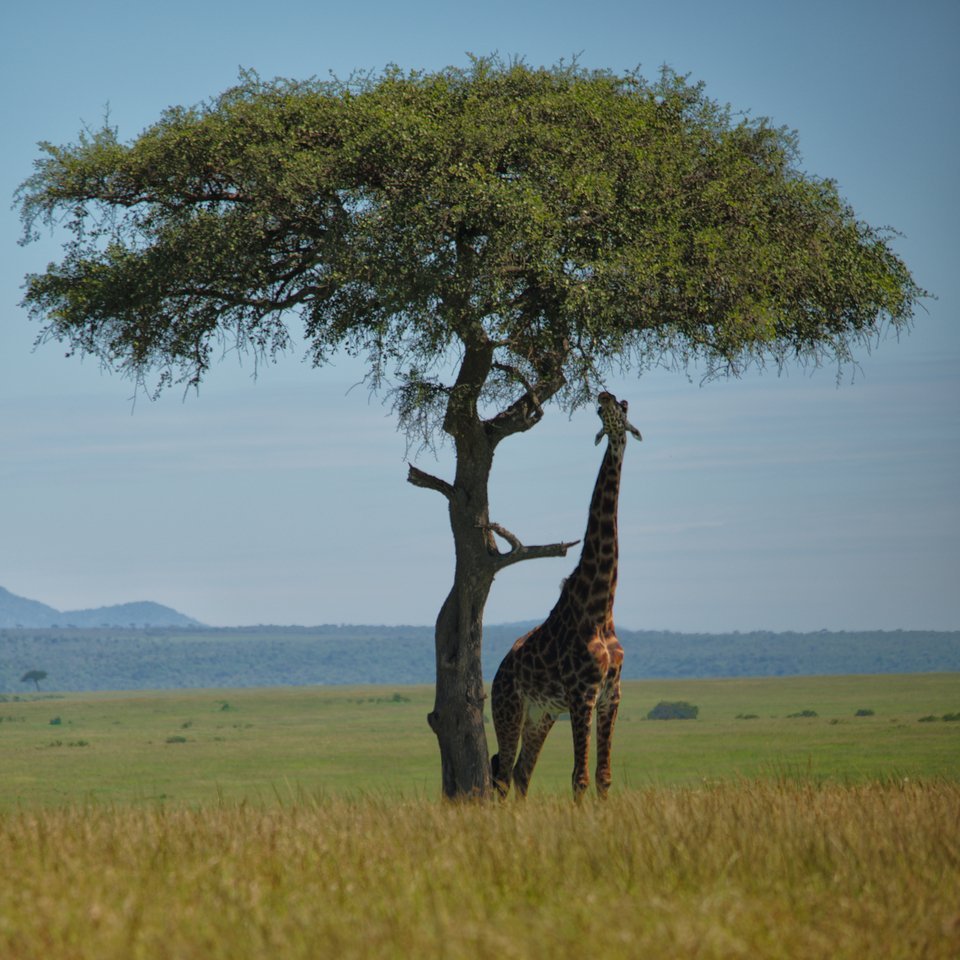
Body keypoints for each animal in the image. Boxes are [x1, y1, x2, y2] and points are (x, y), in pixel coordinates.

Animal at [492, 390, 640, 804]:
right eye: (604, 409)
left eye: (623, 407)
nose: (603, 395)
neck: (600, 606)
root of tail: (496, 674)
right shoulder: (581, 693)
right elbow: (580, 776)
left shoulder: (611, 694)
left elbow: (603, 775)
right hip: (508, 709)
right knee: (502, 775)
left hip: (540, 716)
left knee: (521, 772)